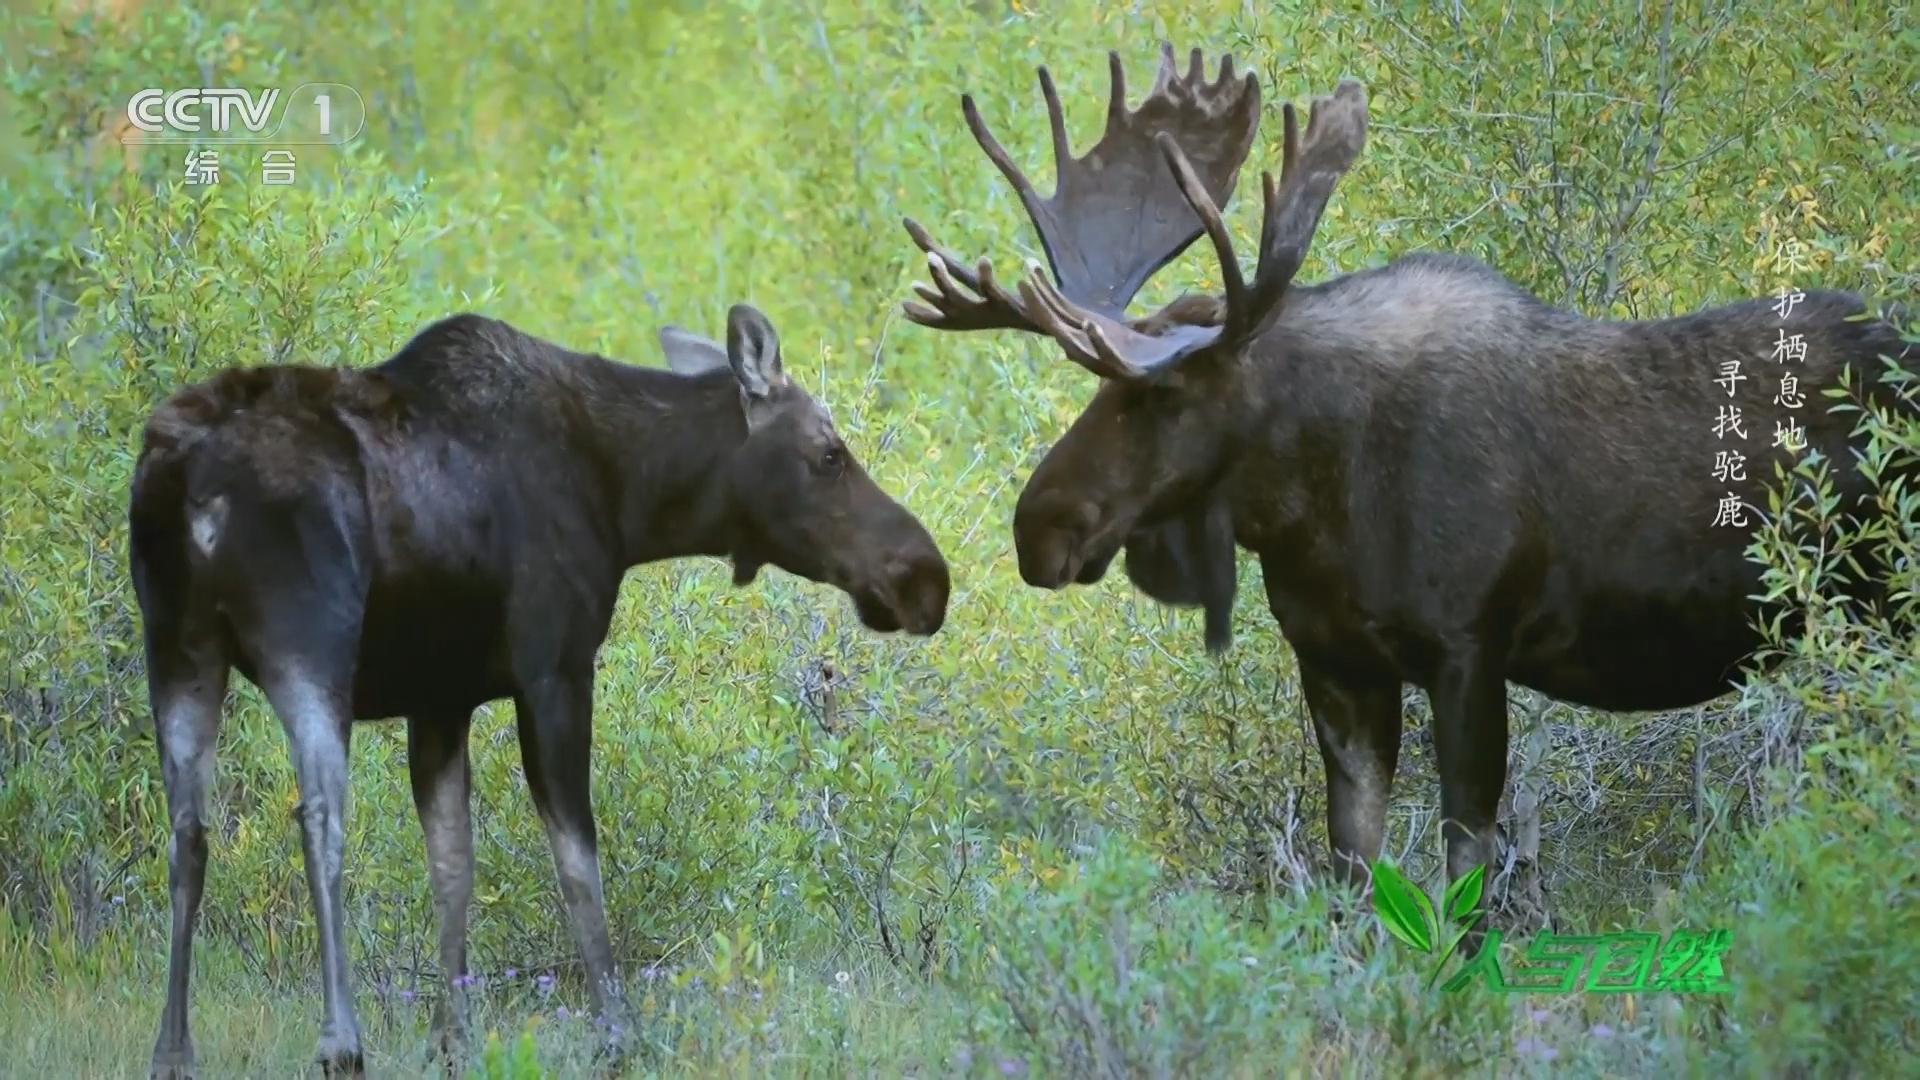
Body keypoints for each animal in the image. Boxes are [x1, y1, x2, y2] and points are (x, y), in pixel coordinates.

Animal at [128, 303, 951, 1078]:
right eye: (829, 454)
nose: (925, 578)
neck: (629, 499)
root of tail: (190, 482)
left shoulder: (441, 698)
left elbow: (453, 864)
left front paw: (453, 1043)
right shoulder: (553, 667)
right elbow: (577, 859)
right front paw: (616, 1035)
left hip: (176, 649)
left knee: (187, 833)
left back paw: (172, 1051)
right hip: (310, 641)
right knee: (320, 815)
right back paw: (341, 1041)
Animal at [899, 42, 1914, 946]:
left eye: (1165, 392)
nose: (1037, 528)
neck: (1315, 513)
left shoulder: (1470, 650)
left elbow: (1465, 878)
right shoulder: (1336, 662)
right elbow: (1352, 876)